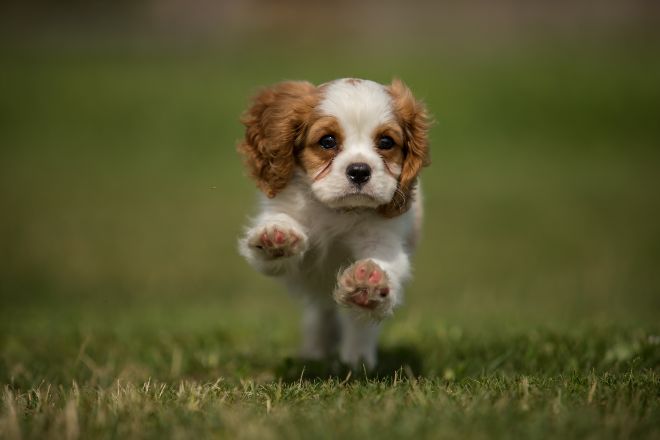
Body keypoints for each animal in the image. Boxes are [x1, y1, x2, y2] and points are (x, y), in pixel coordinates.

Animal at [240, 78, 430, 368]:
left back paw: (357, 357)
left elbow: (386, 264)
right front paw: (277, 234)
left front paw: (368, 282)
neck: (338, 211)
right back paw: (316, 350)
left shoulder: (384, 239)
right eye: (327, 141)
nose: (360, 170)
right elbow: (275, 247)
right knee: (321, 314)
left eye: (386, 142)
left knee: (357, 322)